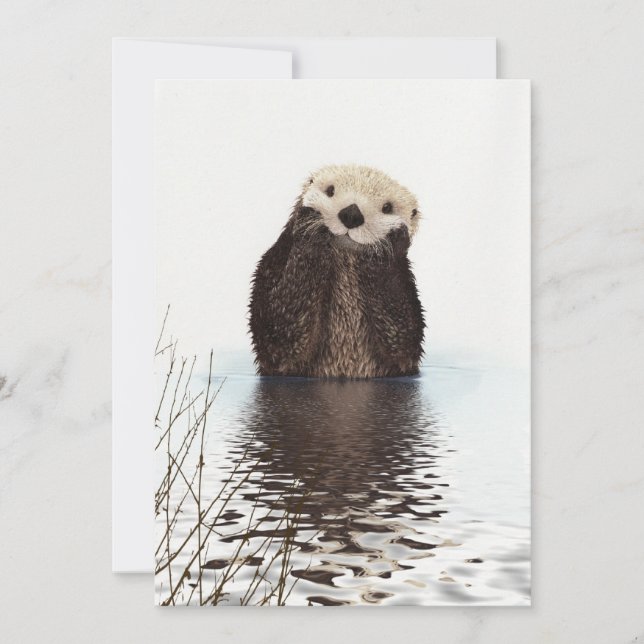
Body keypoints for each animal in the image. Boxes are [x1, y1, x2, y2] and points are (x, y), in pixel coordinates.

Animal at [249, 164, 425, 378]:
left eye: (387, 208)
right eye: (330, 190)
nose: (352, 214)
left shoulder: (406, 289)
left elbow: (403, 339)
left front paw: (389, 243)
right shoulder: (272, 265)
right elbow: (278, 334)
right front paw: (311, 225)